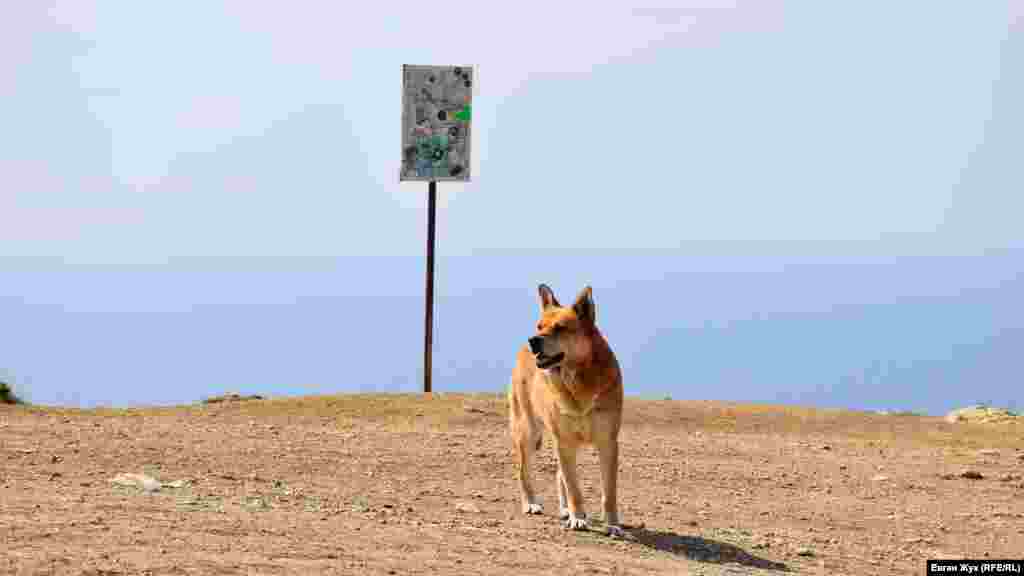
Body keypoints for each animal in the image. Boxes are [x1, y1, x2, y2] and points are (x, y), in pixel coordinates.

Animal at [505, 282, 622, 532]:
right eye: (539, 326)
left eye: (560, 328)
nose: (533, 340)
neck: (578, 379)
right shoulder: (565, 441)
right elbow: (574, 487)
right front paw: (578, 518)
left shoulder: (607, 443)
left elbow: (609, 492)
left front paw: (611, 525)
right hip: (528, 431)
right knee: (524, 471)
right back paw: (531, 503)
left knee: (560, 476)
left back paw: (565, 509)